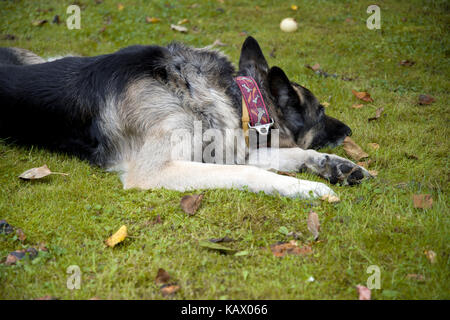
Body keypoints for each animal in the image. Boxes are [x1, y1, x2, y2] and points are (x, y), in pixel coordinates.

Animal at [0, 37, 370, 198]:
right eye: (321, 112)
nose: (349, 129)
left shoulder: (223, 147)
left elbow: (293, 153)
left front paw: (336, 166)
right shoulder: (155, 170)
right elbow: (250, 171)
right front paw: (306, 188)